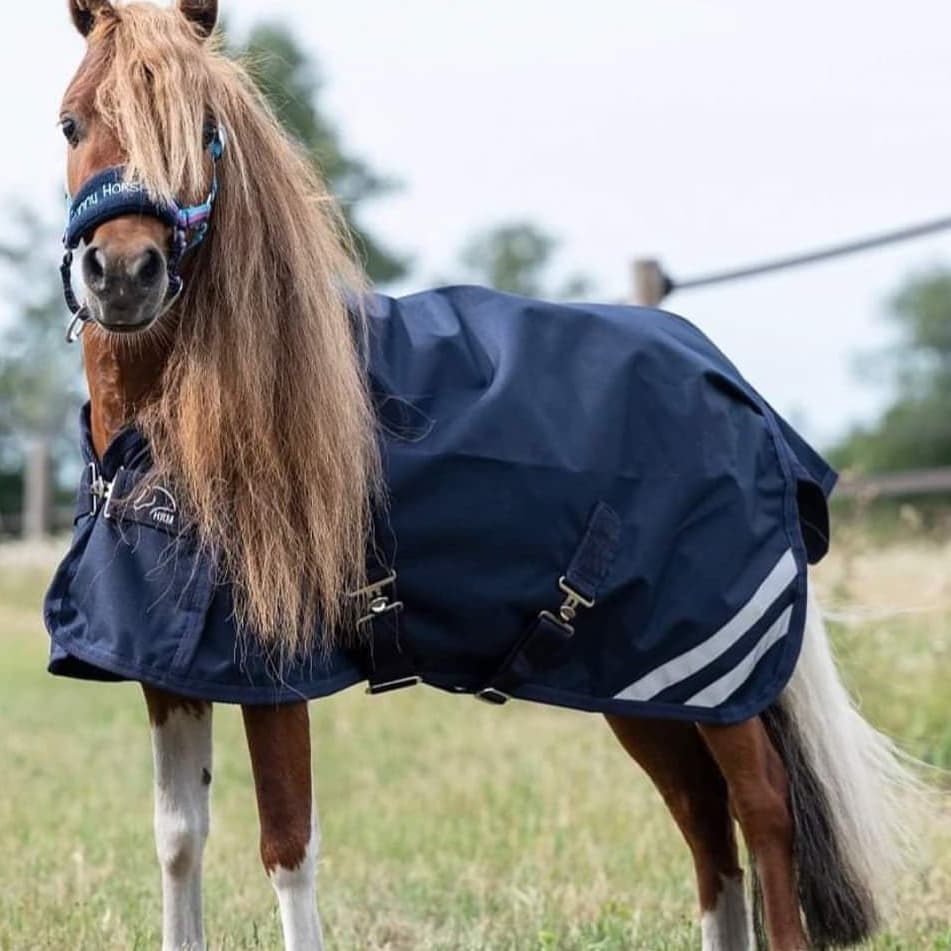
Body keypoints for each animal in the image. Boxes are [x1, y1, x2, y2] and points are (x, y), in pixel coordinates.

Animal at [55, 1, 920, 951]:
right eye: (71, 123)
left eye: (205, 133)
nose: (124, 274)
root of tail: (740, 392)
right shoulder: (168, 667)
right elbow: (178, 836)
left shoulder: (268, 664)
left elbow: (286, 845)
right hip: (642, 682)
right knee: (703, 820)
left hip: (713, 675)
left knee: (761, 807)